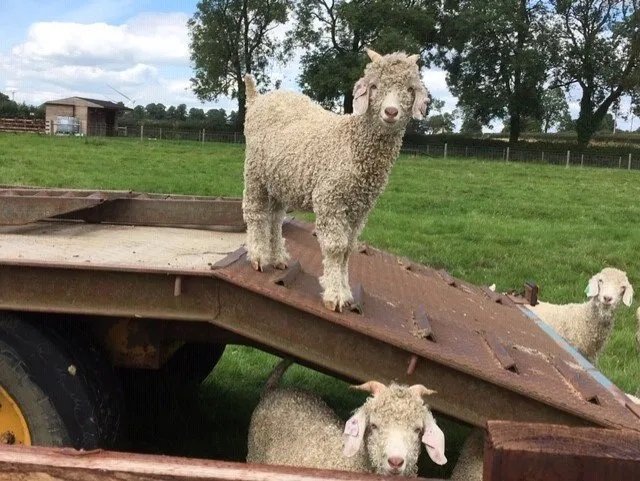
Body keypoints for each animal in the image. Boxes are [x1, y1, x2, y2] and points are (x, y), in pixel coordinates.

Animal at [240, 47, 430, 312]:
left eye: (411, 89)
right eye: (374, 86)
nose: (391, 112)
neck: (350, 142)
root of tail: (257, 99)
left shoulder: (360, 208)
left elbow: (348, 249)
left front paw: (346, 291)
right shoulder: (330, 199)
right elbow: (336, 247)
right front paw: (334, 294)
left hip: (280, 179)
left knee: (275, 218)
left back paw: (278, 257)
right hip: (255, 170)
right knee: (256, 212)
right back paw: (257, 256)